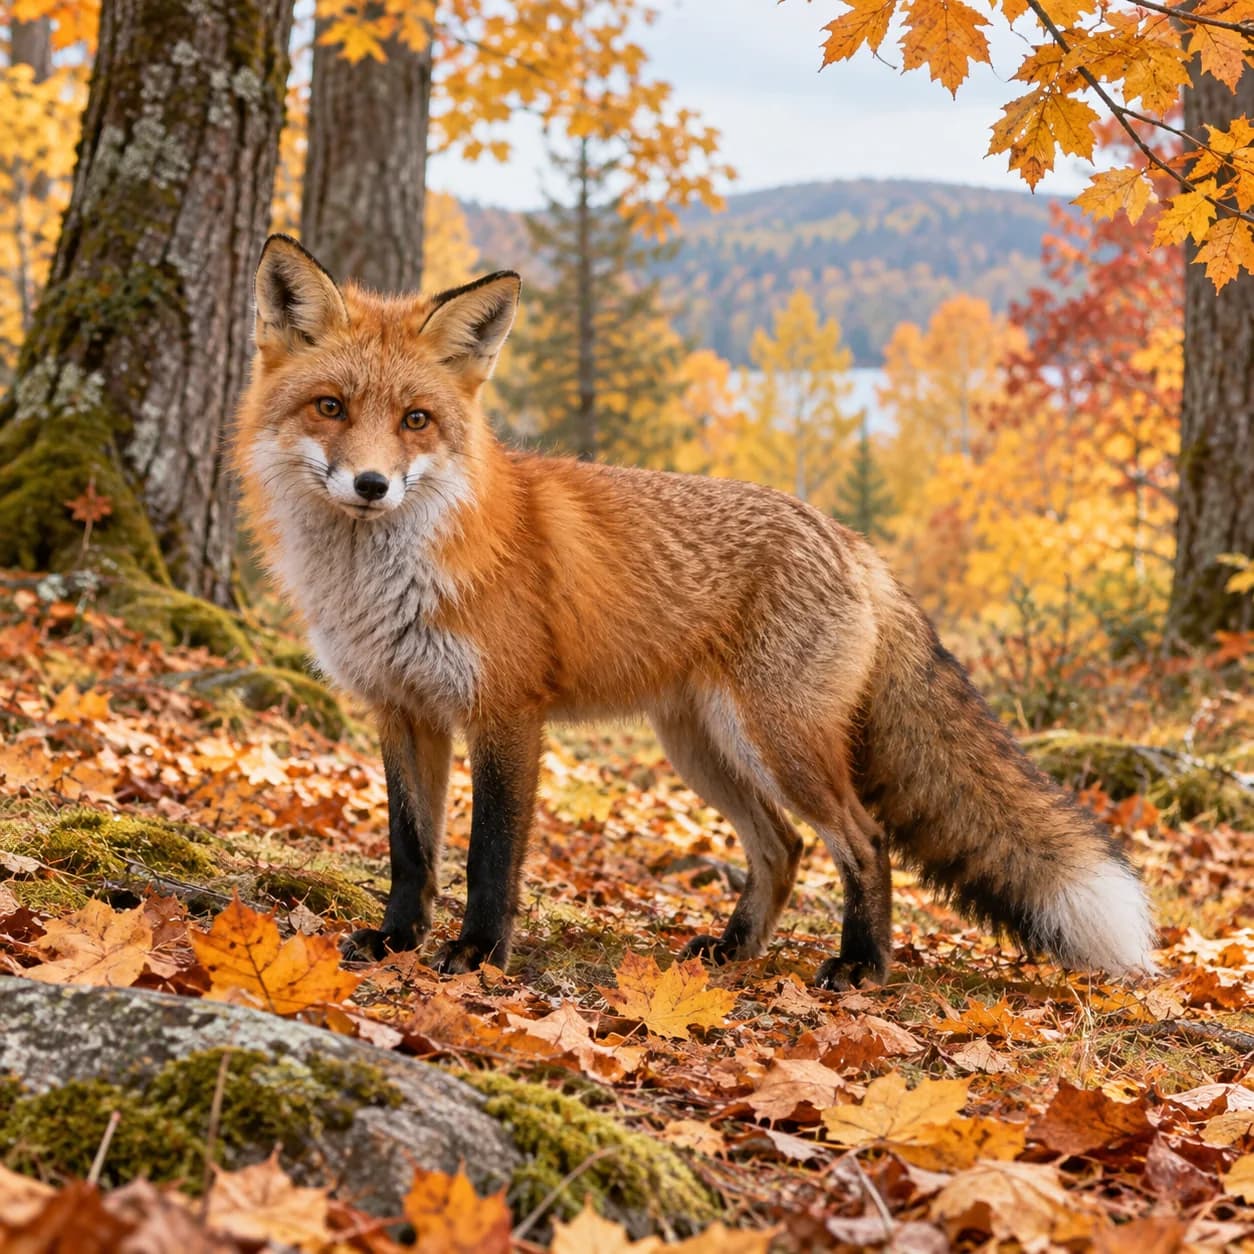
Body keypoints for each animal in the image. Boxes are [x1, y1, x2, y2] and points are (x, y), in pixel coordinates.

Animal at [232, 233, 1157, 987]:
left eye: (416, 420)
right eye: (331, 408)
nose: (371, 485)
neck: (383, 581)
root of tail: (849, 540)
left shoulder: (506, 713)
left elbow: (490, 855)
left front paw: (478, 953)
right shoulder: (403, 709)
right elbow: (410, 848)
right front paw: (398, 941)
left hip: (780, 741)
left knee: (864, 840)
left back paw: (861, 966)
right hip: (704, 748)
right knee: (783, 848)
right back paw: (735, 949)